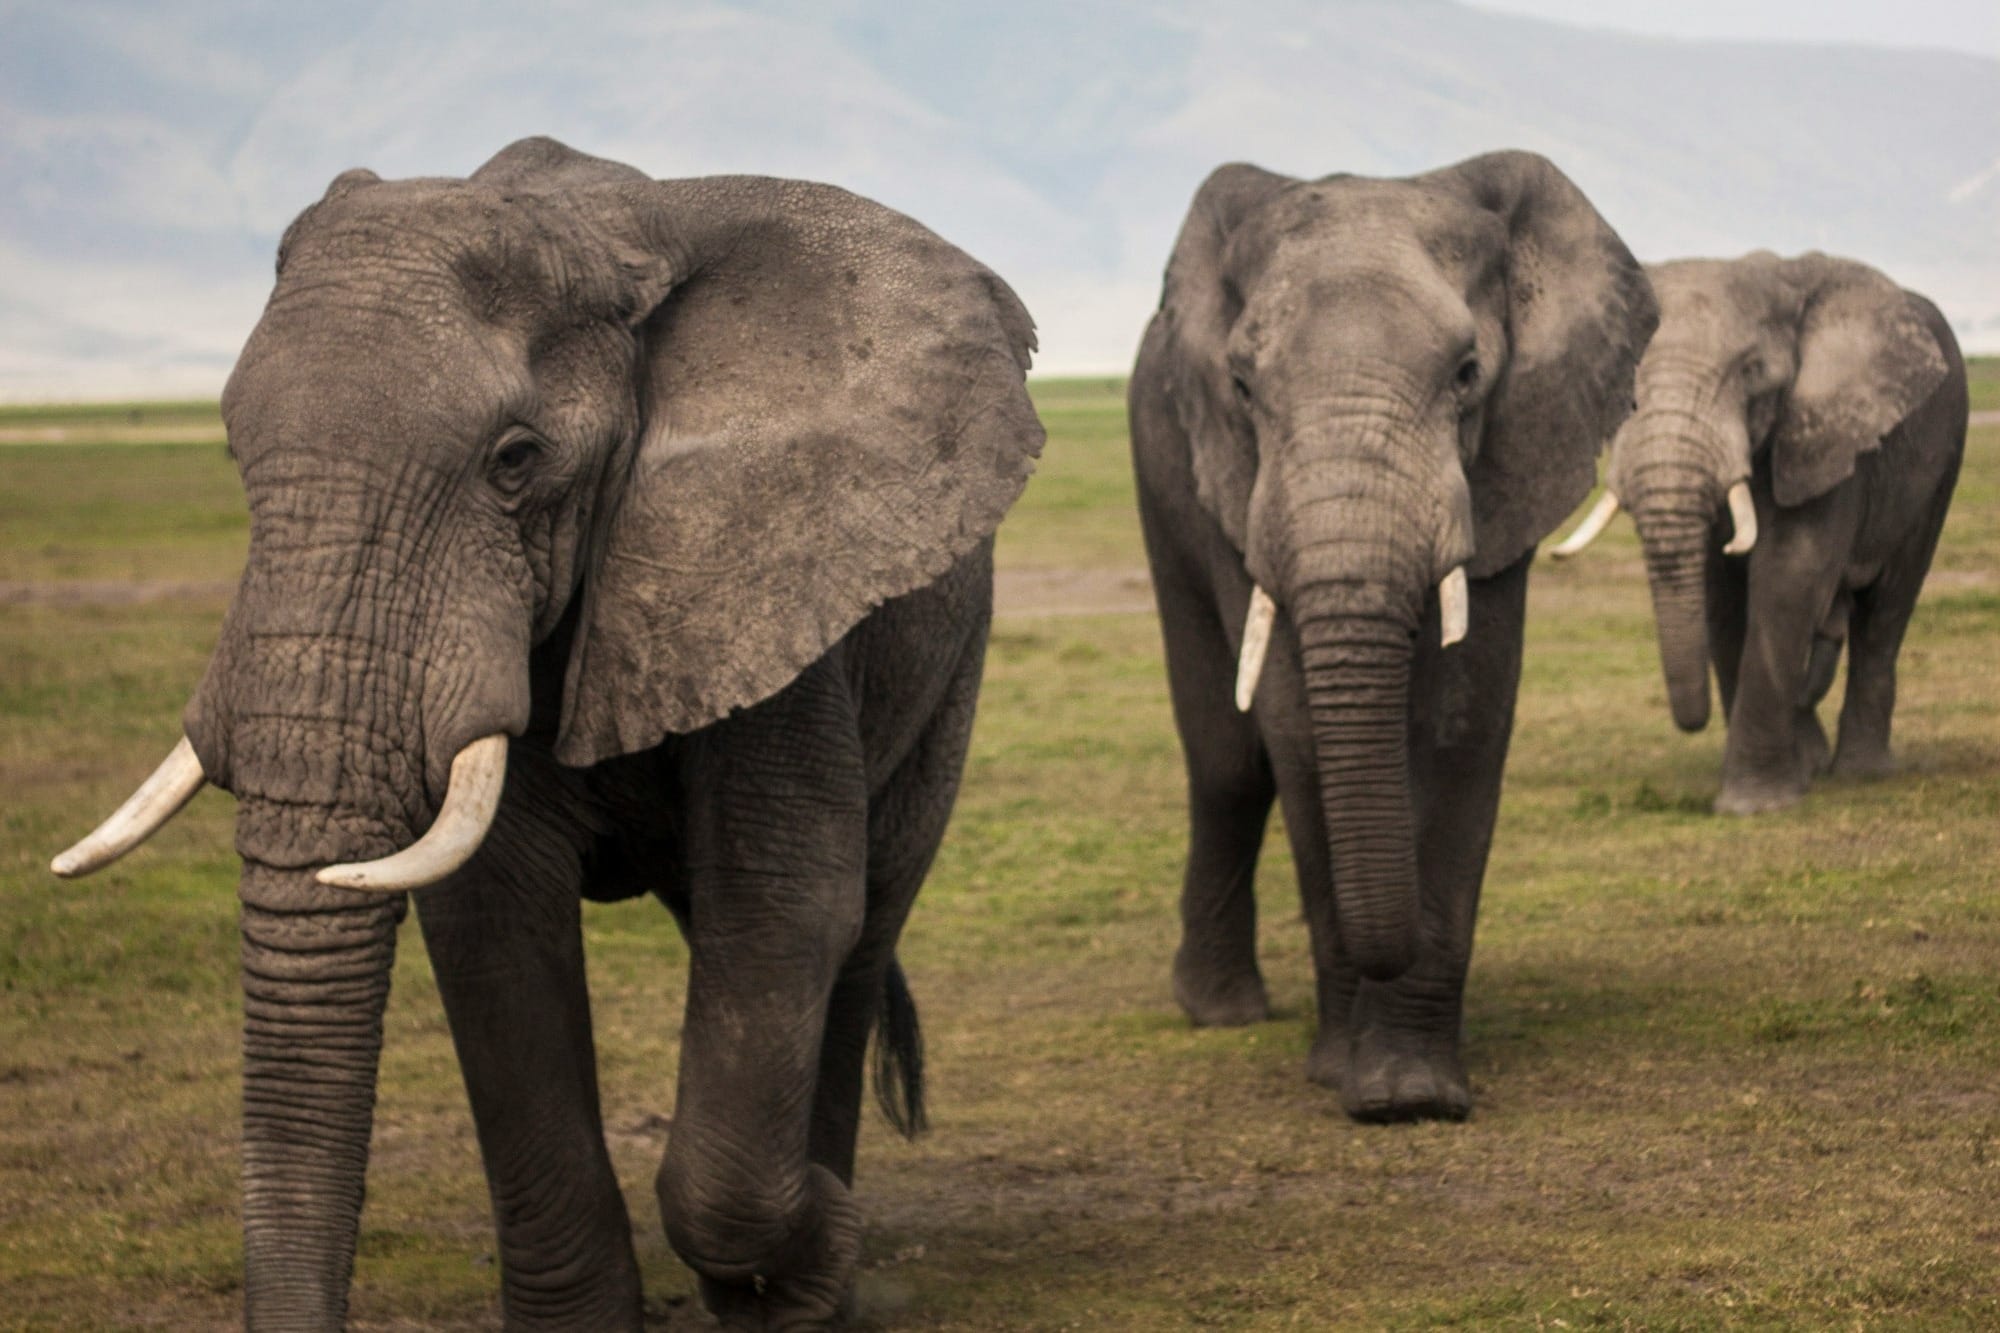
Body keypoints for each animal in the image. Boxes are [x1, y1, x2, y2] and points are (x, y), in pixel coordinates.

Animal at [50, 137, 1048, 1328]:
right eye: (235, 449)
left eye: (514, 460)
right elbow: (495, 924)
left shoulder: (771, 574)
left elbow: (785, 905)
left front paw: (816, 1256)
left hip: (950, 667)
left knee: (863, 926)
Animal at [1136, 150, 1664, 1112]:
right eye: (1241, 387)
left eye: (1466, 373)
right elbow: (1296, 727)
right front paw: (1347, 1073)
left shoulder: (1508, 459)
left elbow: (1464, 719)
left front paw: (1411, 1094)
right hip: (1161, 471)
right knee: (1227, 759)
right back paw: (1221, 1012)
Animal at [1544, 249, 1968, 808]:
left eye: (1751, 373)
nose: (1692, 722)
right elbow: (1722, 597)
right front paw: (1789, 777)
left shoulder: (1824, 436)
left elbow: (1790, 573)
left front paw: (1753, 805)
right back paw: (1815, 762)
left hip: (1943, 458)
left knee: (1887, 609)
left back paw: (1861, 772)